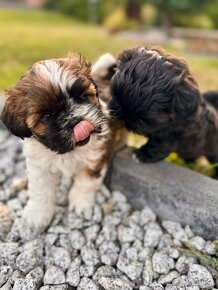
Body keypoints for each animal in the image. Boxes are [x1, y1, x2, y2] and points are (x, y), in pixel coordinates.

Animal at [1, 52, 116, 231]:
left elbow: (86, 181)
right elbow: (40, 189)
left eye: (82, 97)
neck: (69, 151)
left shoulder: (94, 158)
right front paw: (38, 213)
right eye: (46, 116)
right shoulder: (40, 165)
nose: (74, 121)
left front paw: (81, 202)